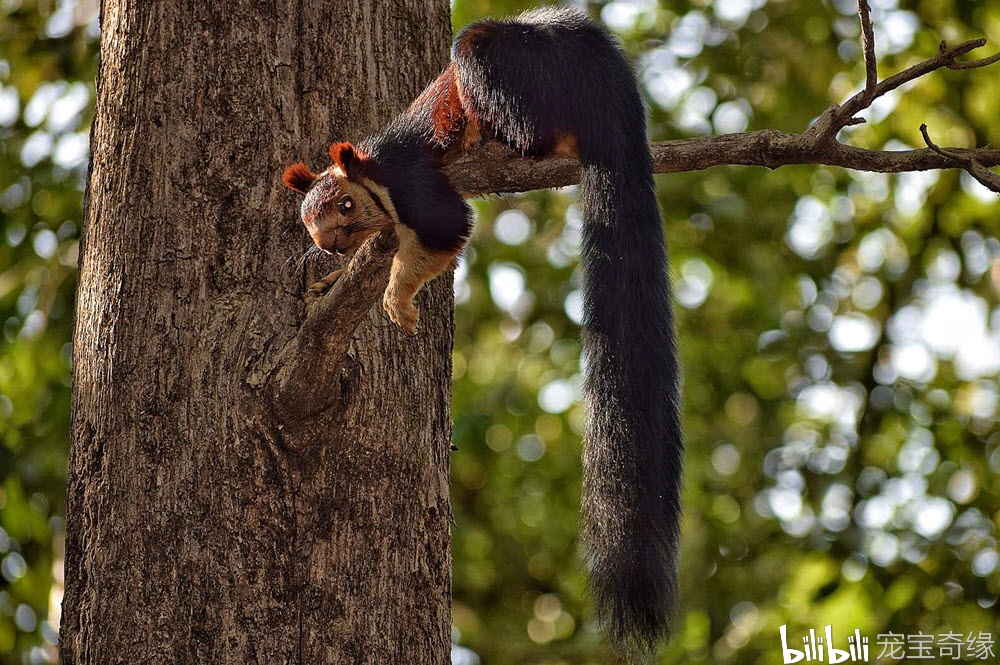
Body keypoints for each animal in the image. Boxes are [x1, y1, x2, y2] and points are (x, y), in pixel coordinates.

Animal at [286, 3, 684, 648]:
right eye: (305, 218)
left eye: (344, 205)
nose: (327, 243)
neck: (375, 172)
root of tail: (609, 79)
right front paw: (329, 281)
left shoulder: (415, 185)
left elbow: (444, 231)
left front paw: (397, 295)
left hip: (497, 67)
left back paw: (511, 141)